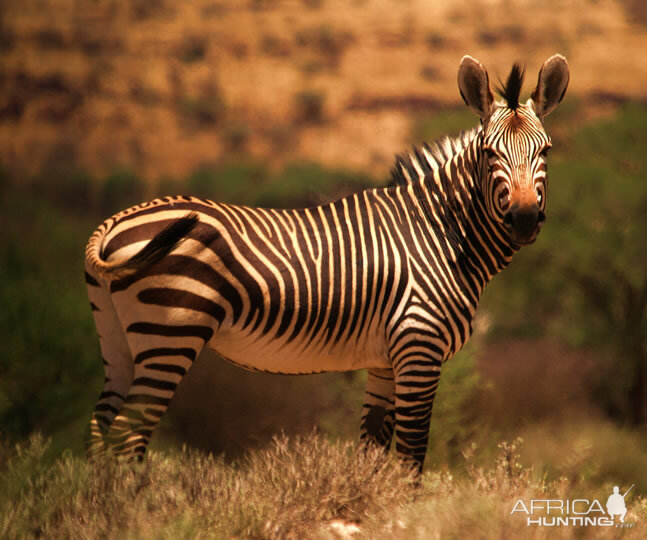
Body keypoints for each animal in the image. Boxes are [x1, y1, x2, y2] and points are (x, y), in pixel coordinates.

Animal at [85, 54, 568, 472]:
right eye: (489, 154)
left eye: (545, 151)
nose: (524, 219)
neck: (441, 230)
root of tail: (112, 223)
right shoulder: (419, 346)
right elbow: (411, 457)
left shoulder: (385, 360)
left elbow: (373, 451)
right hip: (170, 334)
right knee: (126, 436)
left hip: (120, 341)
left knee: (101, 430)